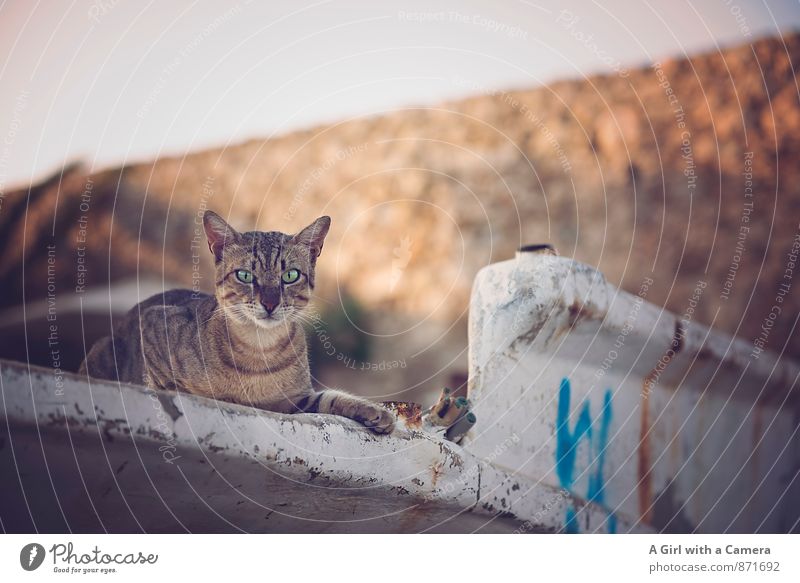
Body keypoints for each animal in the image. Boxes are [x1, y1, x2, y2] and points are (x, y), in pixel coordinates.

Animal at [78, 211, 396, 434]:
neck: (259, 351)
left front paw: (374, 412)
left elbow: (329, 398)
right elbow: (166, 384)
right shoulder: (154, 326)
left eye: (290, 275)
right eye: (244, 275)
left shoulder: (295, 400)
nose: (270, 302)